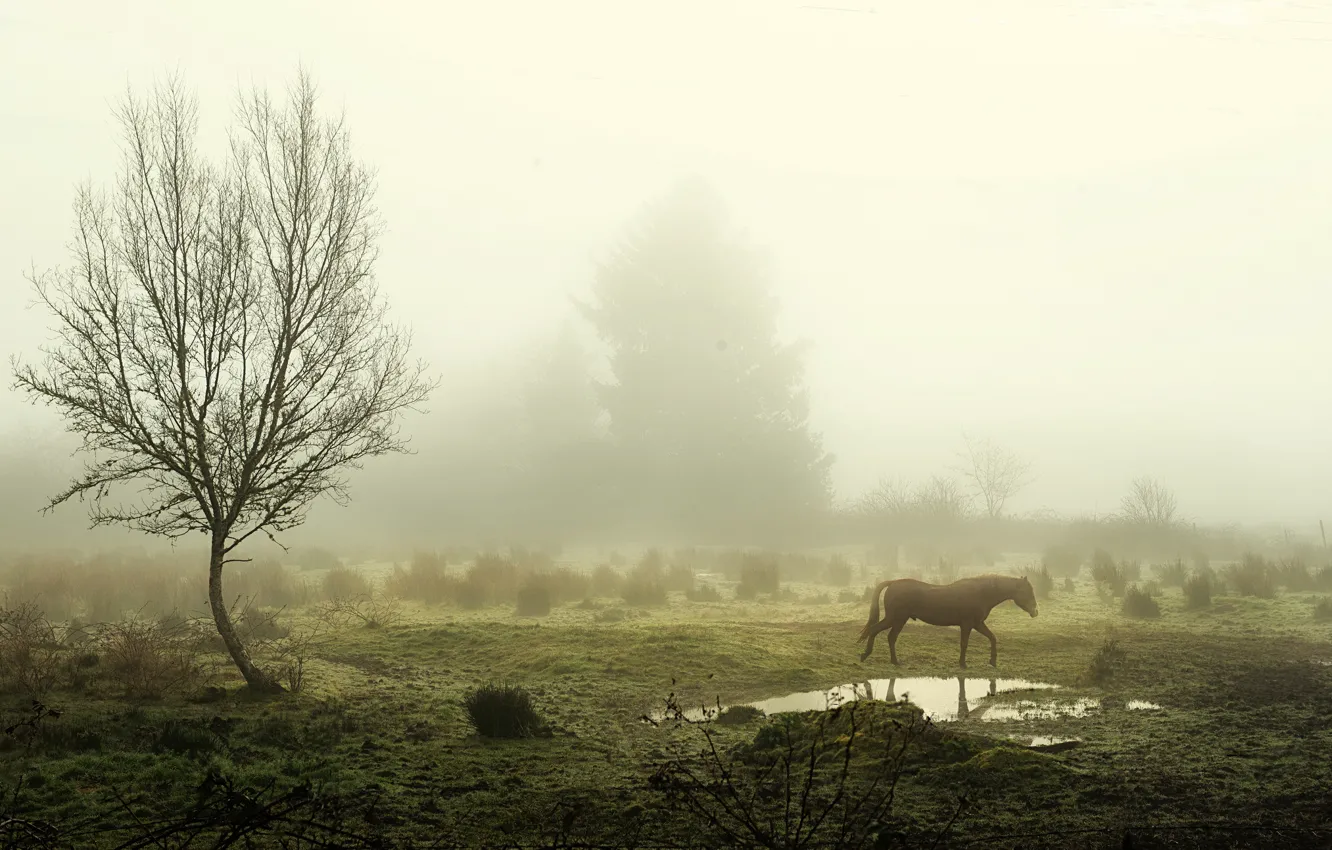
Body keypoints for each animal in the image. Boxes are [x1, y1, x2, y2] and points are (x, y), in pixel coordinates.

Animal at [857, 574, 1038, 668]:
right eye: (1028, 591)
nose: (1035, 612)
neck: (981, 593)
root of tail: (893, 583)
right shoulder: (967, 624)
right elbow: (964, 643)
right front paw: (963, 664)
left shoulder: (978, 624)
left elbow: (992, 638)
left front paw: (992, 661)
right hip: (897, 618)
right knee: (879, 632)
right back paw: (869, 655)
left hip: (898, 619)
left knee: (888, 636)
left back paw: (889, 660)